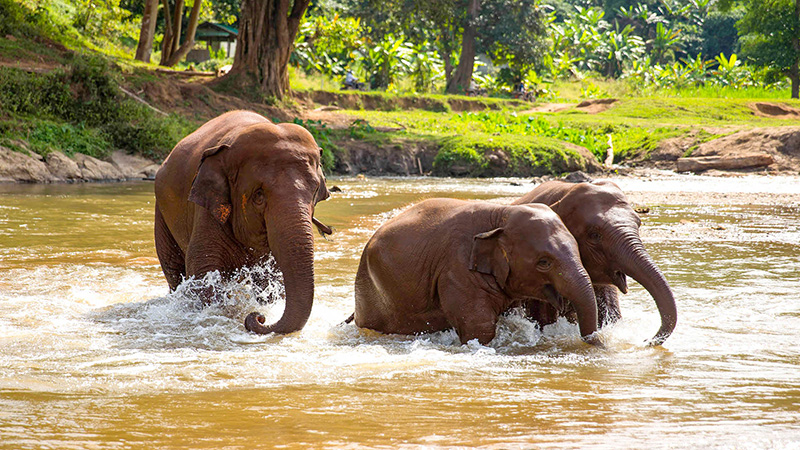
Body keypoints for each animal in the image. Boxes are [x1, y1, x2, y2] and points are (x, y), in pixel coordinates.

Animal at [154, 110, 331, 335]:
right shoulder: (207, 210)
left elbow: (273, 278)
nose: (259, 318)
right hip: (161, 212)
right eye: (259, 195)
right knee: (174, 270)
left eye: (315, 191)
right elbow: (203, 271)